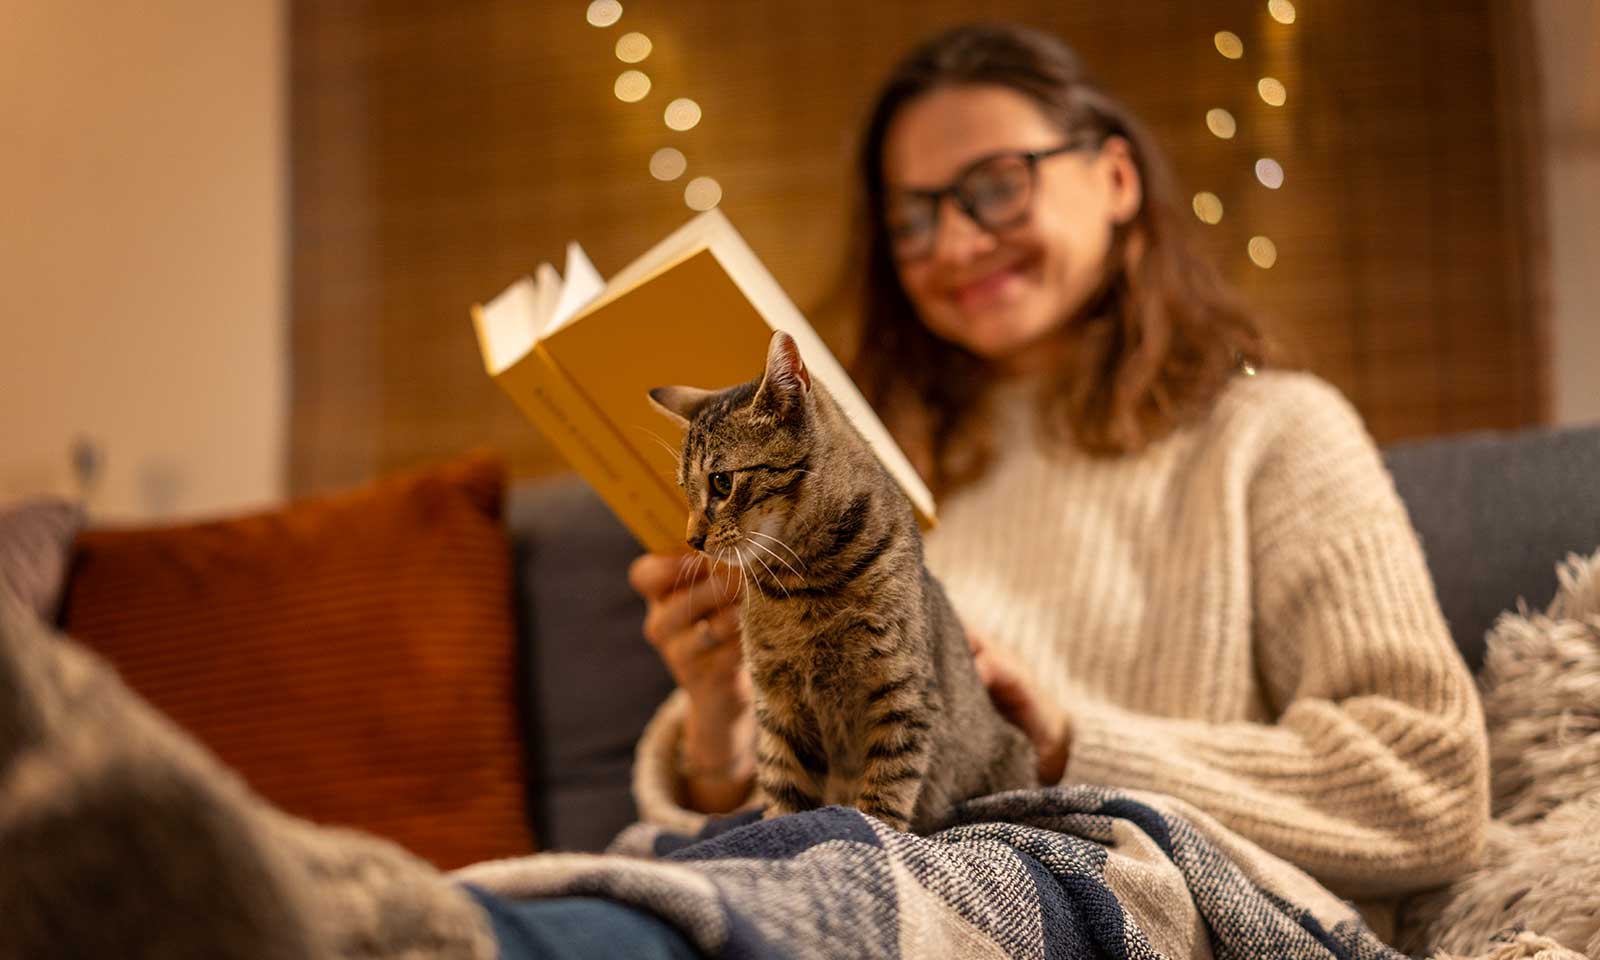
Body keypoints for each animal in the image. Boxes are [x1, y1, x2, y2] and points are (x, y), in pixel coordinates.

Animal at [649, 329, 1036, 832]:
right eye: (685, 492)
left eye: (720, 482)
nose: (692, 540)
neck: (801, 581)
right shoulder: (778, 703)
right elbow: (782, 783)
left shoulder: (902, 693)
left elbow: (887, 787)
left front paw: (874, 829)